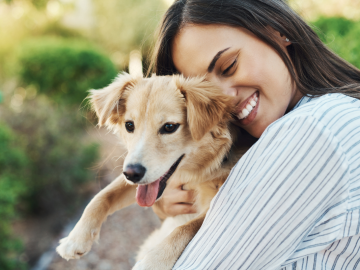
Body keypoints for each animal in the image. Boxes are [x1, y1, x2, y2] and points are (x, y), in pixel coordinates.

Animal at [56, 73, 249, 268]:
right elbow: (102, 196)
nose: (132, 174)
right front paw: (76, 238)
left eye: (169, 127)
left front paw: (153, 261)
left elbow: (186, 228)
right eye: (129, 125)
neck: (197, 172)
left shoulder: (213, 206)